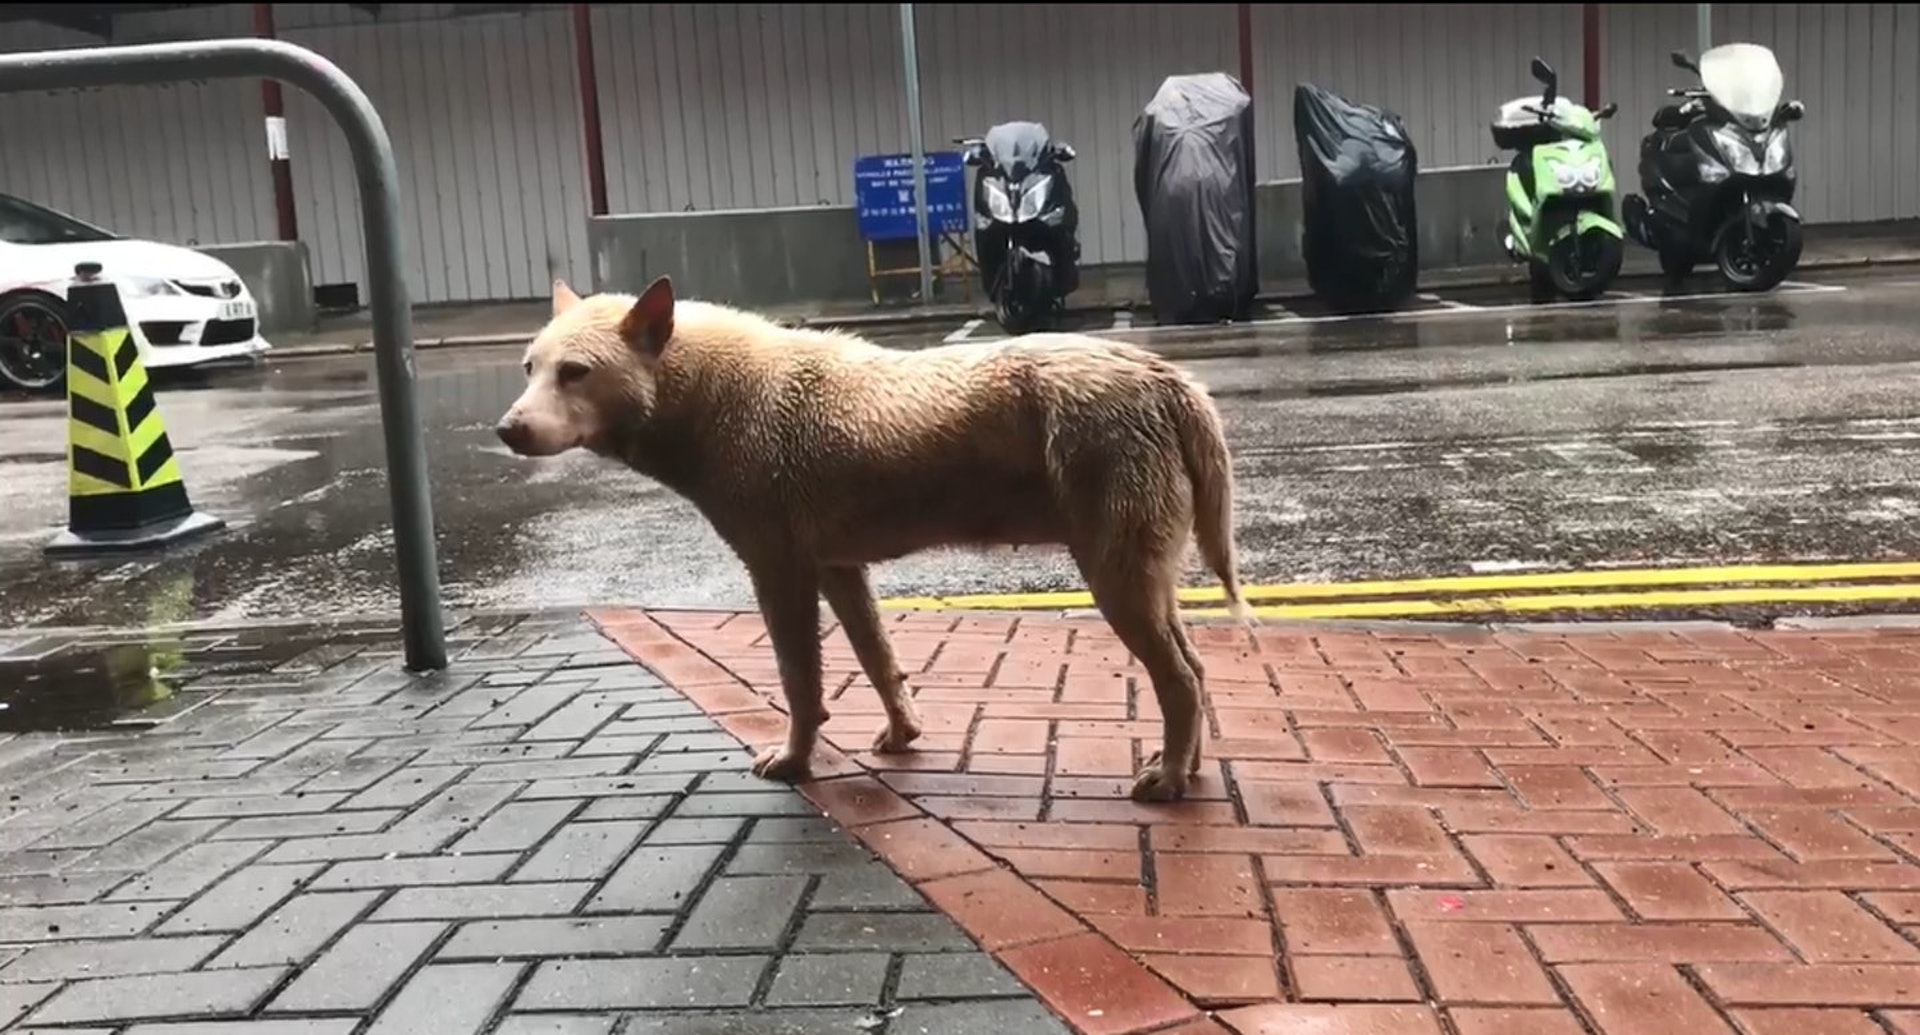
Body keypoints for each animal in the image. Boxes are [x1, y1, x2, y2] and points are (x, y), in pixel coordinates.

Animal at [495, 274, 1251, 802]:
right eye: (529, 367)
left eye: (575, 372)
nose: (507, 429)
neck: (708, 395)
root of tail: (1168, 380)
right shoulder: (840, 567)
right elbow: (878, 656)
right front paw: (901, 734)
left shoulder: (780, 572)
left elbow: (802, 685)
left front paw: (796, 761)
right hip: (1143, 574)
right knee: (1197, 667)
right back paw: (1184, 766)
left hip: (1115, 574)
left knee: (1181, 679)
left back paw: (1170, 780)